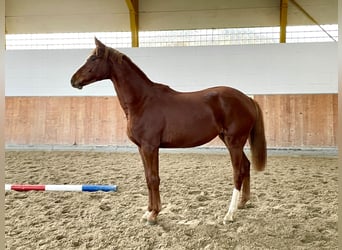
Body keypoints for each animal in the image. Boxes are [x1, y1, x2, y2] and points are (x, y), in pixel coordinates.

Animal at [70, 37, 268, 225]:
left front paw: (154, 214)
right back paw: (242, 203)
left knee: (238, 172)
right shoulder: (142, 148)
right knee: (246, 166)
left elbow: (153, 178)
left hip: (234, 142)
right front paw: (148, 212)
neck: (142, 101)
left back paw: (229, 214)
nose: (73, 80)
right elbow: (148, 178)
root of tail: (248, 99)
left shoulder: (150, 147)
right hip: (230, 141)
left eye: (93, 58)